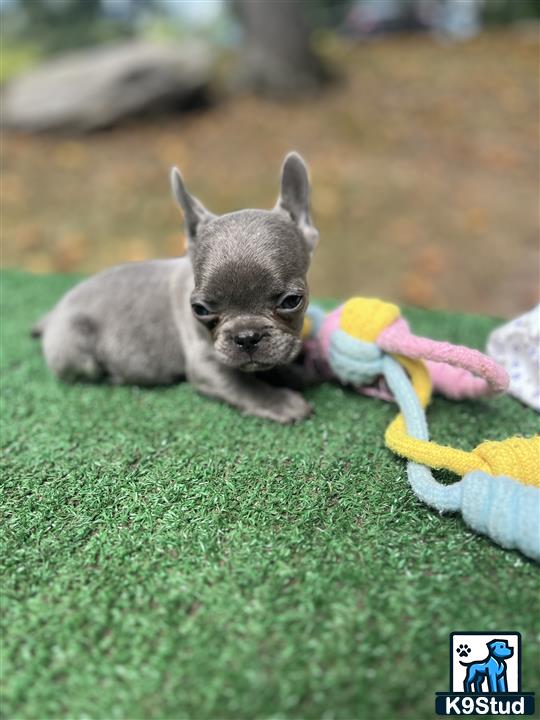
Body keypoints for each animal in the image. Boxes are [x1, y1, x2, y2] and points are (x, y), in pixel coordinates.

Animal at [33, 152, 318, 422]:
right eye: (200, 309)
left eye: (292, 301)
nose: (246, 337)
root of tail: (53, 315)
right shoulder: (206, 364)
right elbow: (243, 385)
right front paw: (280, 402)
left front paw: (296, 373)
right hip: (75, 348)